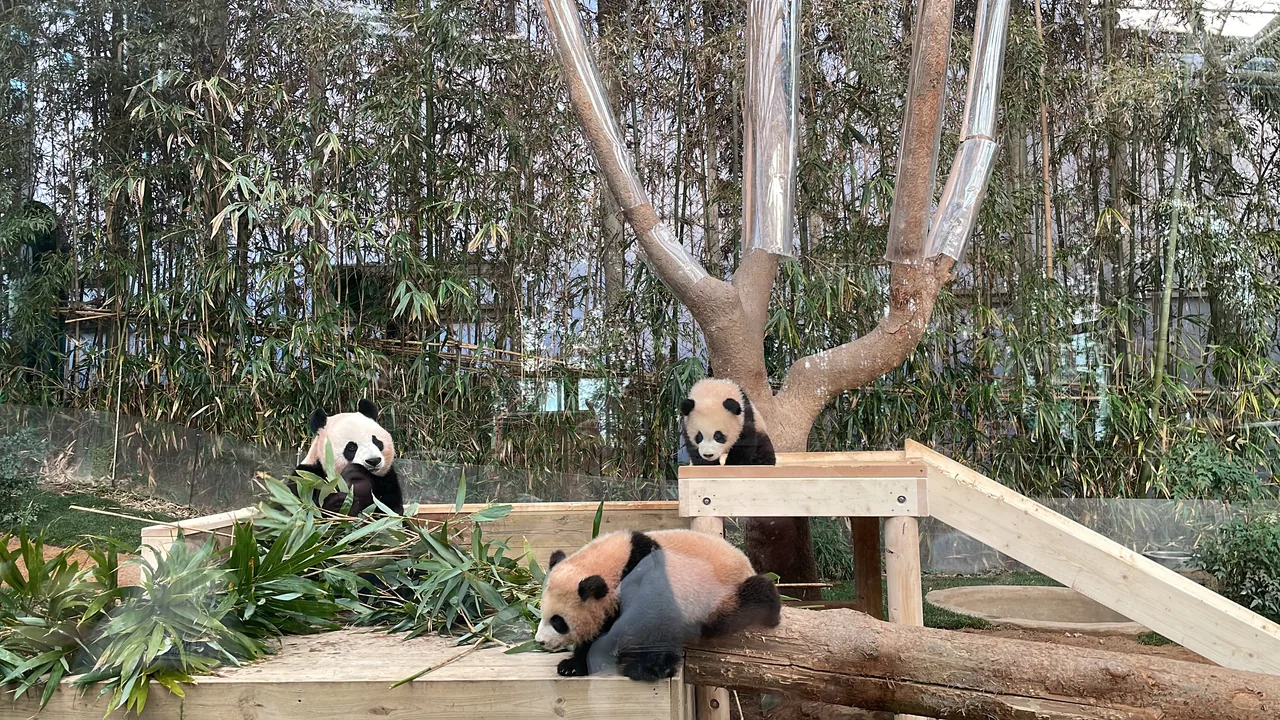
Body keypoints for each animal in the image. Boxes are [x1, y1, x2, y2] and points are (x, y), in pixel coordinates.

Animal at [534, 529, 781, 682]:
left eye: (558, 622)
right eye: (542, 614)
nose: (540, 641)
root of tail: (745, 562)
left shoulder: (644, 579)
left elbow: (655, 623)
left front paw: (646, 669)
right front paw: (573, 665)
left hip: (721, 596)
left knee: (739, 609)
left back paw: (770, 605)